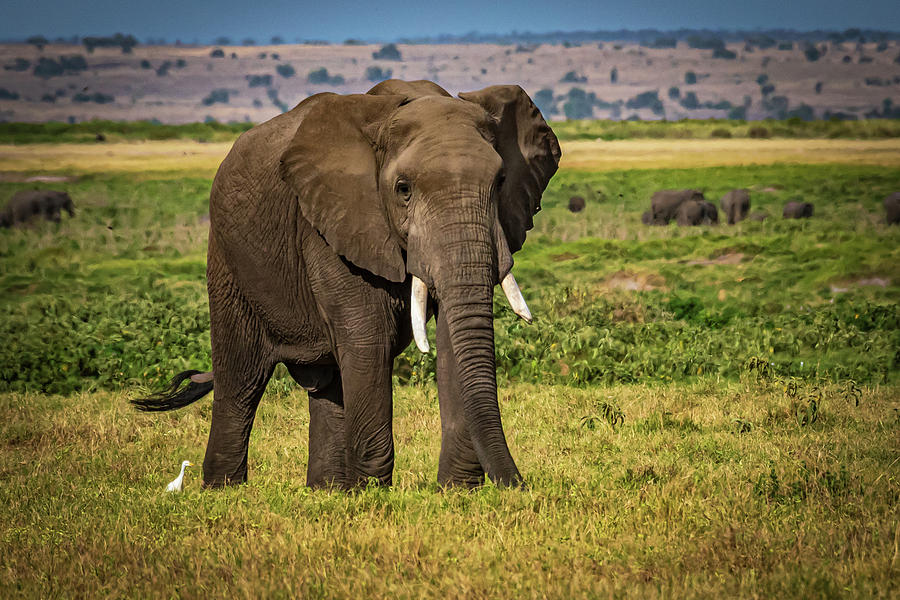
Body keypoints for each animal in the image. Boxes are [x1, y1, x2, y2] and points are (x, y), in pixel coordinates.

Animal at [132, 79, 564, 492]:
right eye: (403, 188)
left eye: (501, 181)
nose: (520, 487)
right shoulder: (330, 224)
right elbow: (367, 338)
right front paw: (373, 493)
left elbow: (449, 339)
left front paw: (455, 493)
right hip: (228, 257)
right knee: (242, 379)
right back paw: (224, 491)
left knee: (327, 384)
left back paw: (328, 493)